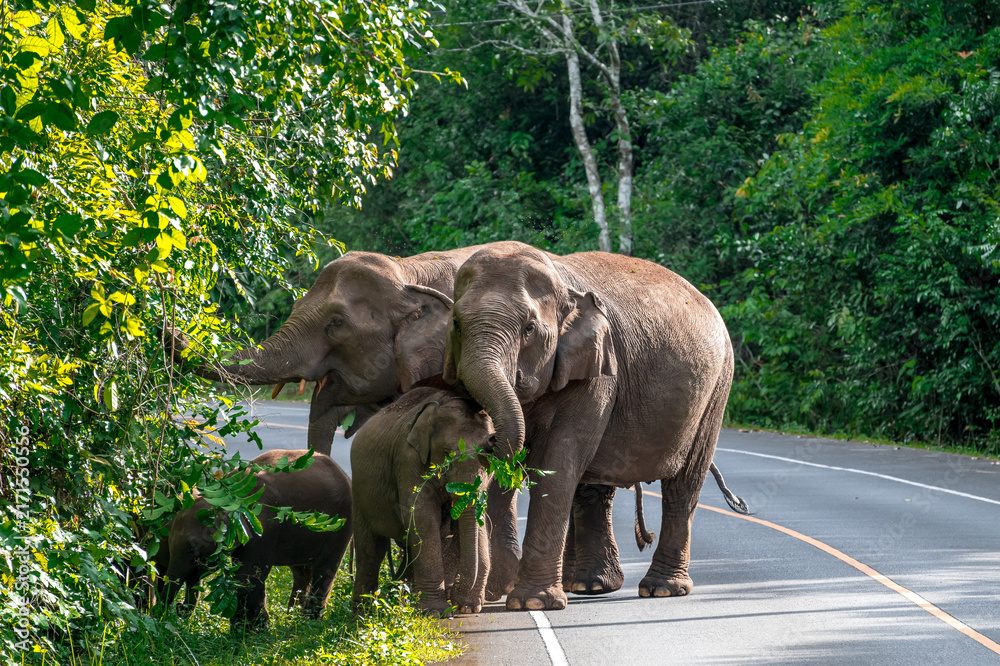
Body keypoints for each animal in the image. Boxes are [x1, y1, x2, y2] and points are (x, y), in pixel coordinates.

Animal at [155, 449, 352, 631]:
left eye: (194, 550)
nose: (179, 609)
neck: (226, 495)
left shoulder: (263, 530)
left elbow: (247, 577)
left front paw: (252, 633)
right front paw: (252, 630)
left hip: (340, 524)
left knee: (325, 570)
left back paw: (308, 623)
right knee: (301, 571)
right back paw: (292, 618)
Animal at [351, 387, 494, 616]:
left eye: (490, 457)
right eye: (447, 454)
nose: (455, 596)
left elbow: (479, 521)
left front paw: (469, 607)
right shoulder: (408, 459)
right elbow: (422, 516)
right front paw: (436, 612)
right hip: (360, 492)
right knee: (371, 549)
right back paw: (363, 612)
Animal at [444, 240, 737, 611]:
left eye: (529, 328)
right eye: (456, 323)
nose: (489, 439)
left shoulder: (597, 371)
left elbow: (557, 464)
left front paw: (532, 602)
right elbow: (519, 467)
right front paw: (497, 592)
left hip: (715, 392)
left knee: (683, 485)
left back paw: (662, 589)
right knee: (593, 485)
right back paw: (590, 584)